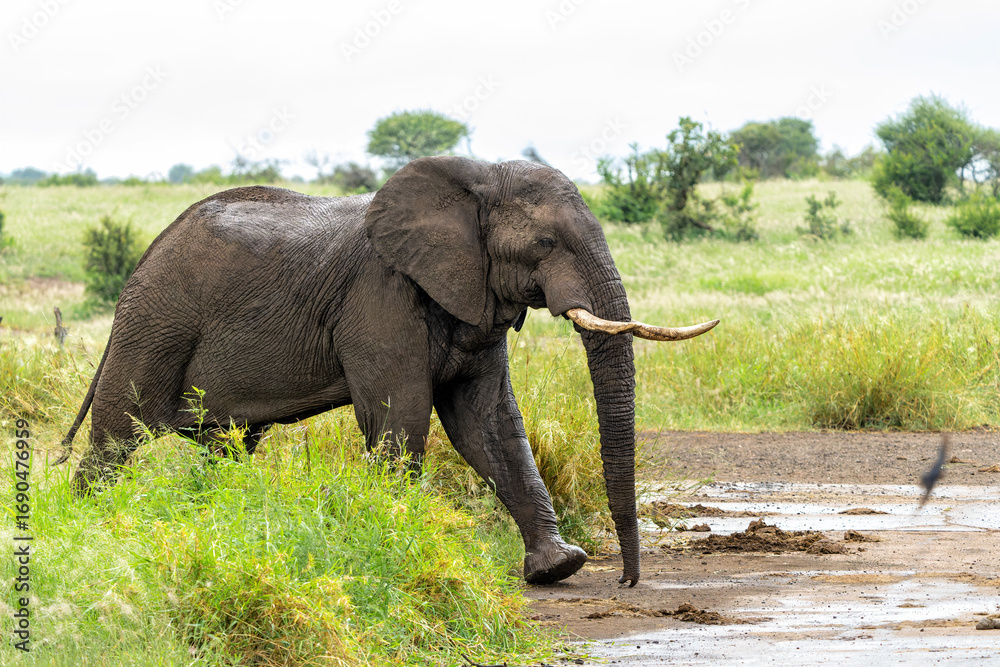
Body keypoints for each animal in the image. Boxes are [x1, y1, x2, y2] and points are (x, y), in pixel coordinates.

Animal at [57, 156, 717, 586]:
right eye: (546, 244)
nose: (626, 582)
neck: (473, 180)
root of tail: (146, 254)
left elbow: (488, 424)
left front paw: (558, 568)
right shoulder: (379, 297)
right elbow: (405, 421)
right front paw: (398, 543)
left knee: (226, 447)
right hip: (154, 323)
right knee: (115, 440)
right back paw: (92, 524)